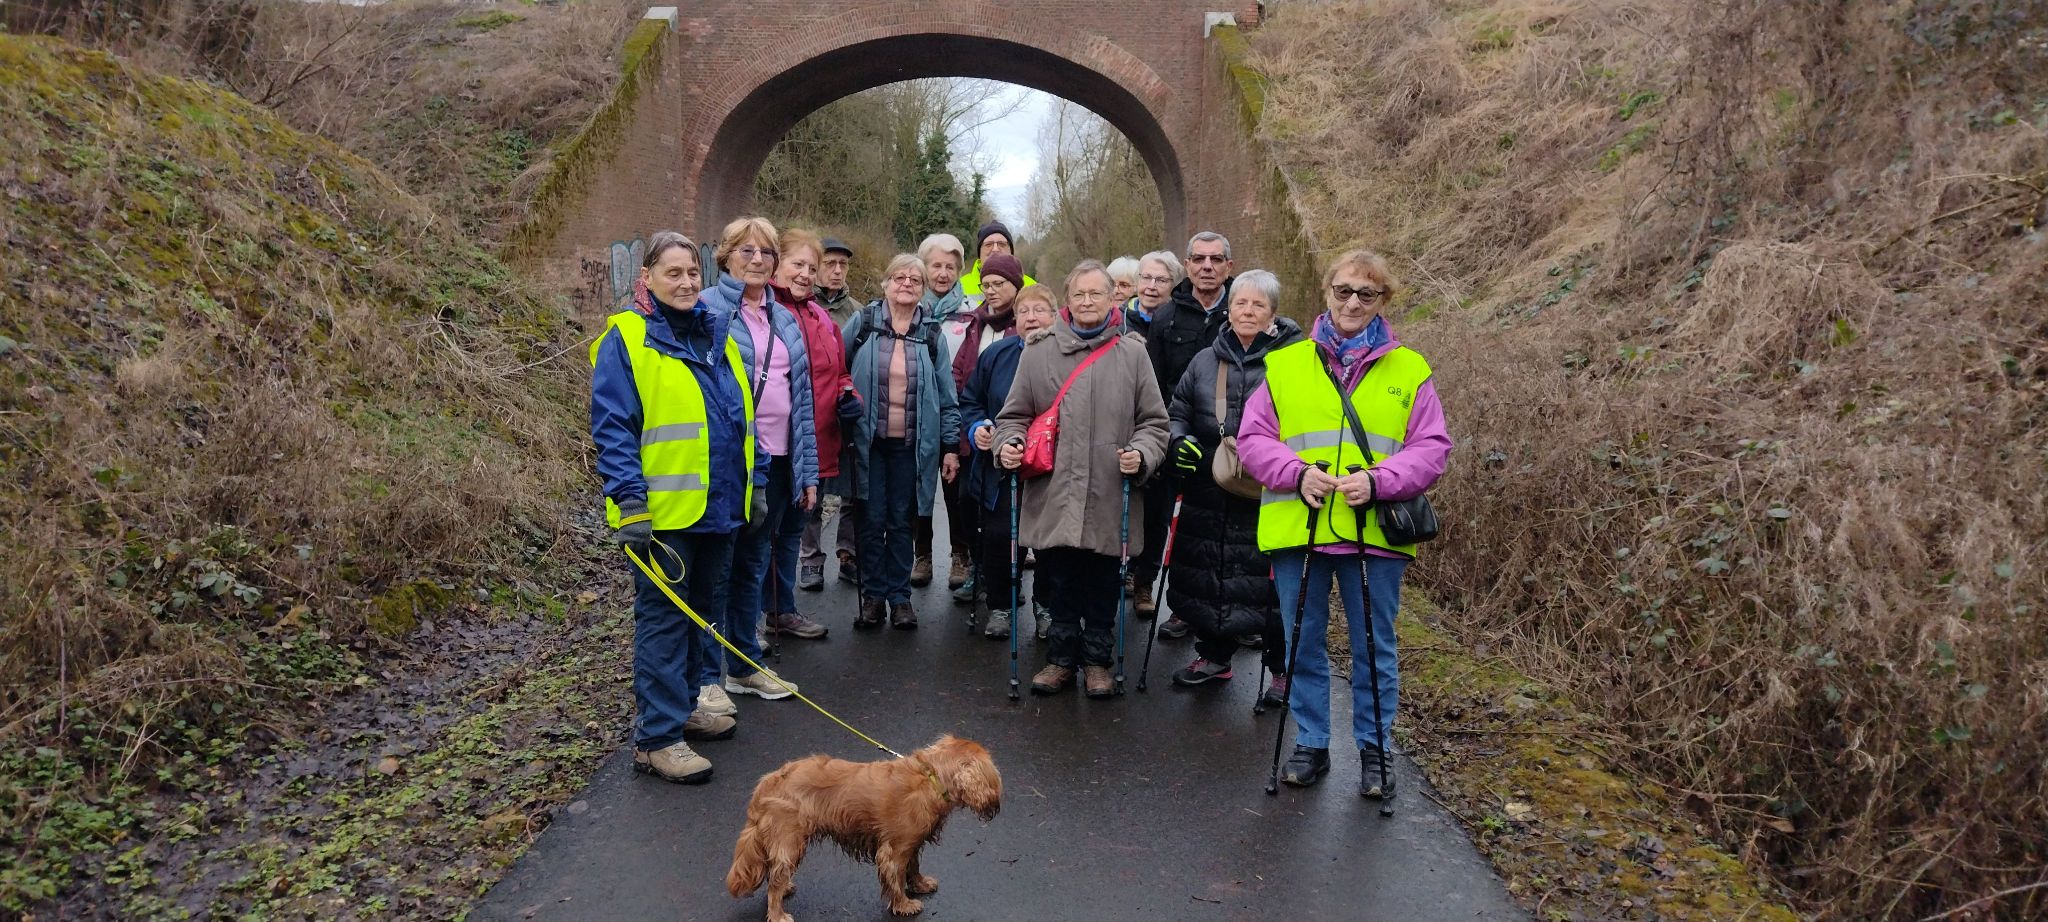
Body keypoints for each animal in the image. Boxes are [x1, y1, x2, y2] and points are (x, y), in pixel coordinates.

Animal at [726, 735, 1002, 922]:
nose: (996, 801)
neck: (931, 777)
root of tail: (769, 781)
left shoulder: (910, 844)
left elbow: (913, 867)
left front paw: (921, 885)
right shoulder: (894, 851)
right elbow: (896, 879)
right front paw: (904, 905)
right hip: (790, 842)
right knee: (774, 880)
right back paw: (778, 913)